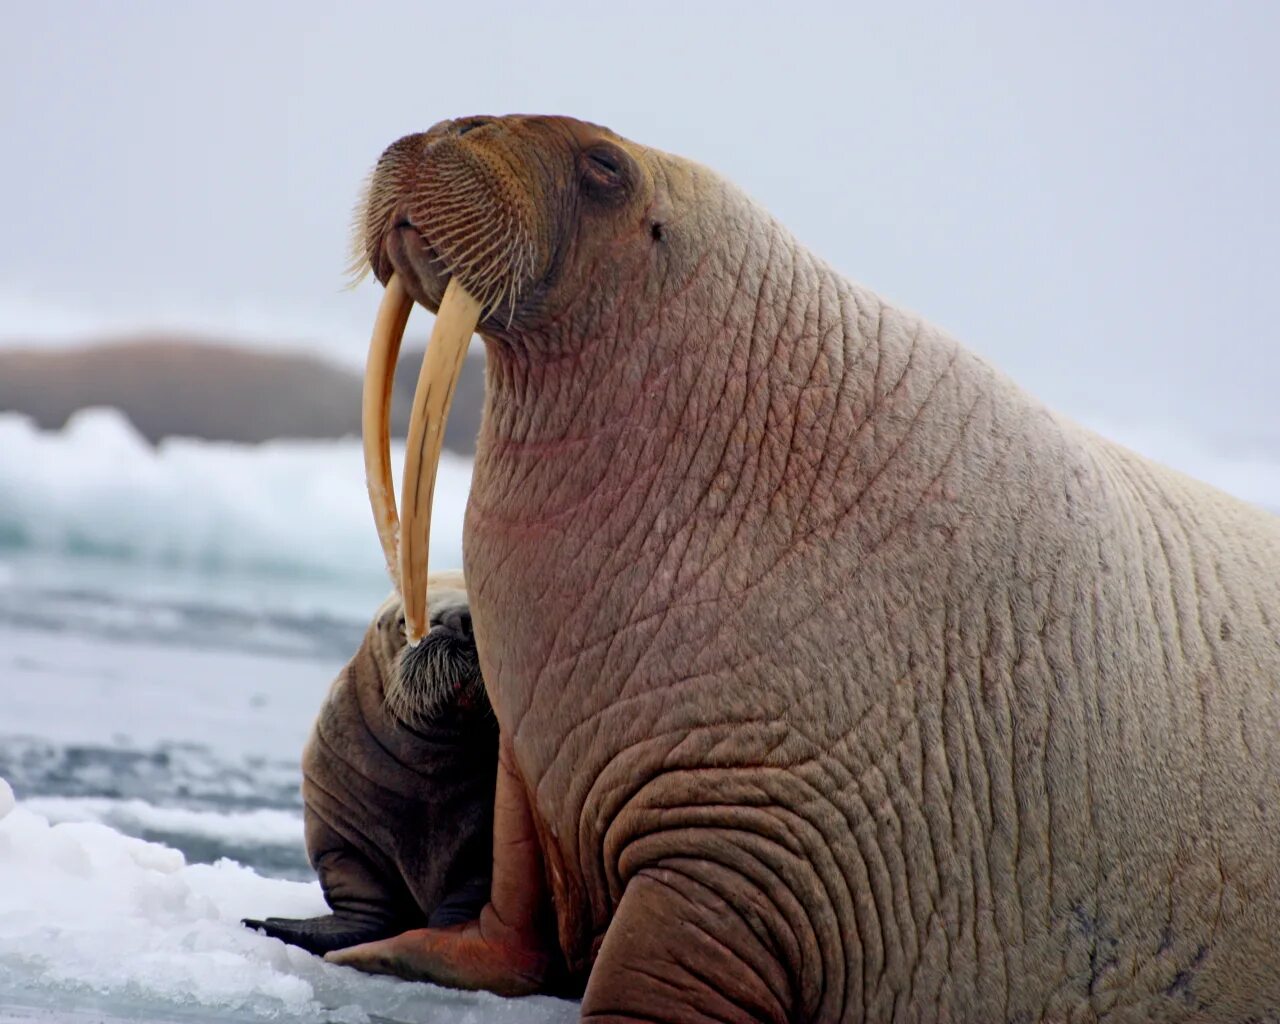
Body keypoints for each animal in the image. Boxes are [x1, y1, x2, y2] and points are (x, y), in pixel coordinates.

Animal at [244, 576, 499, 962]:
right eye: (405, 622)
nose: (464, 619)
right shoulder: (340, 834)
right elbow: (361, 894)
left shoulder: (484, 847)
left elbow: (470, 890)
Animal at [332, 117, 1280, 1024]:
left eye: (605, 165)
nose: (447, 132)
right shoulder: (530, 771)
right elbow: (509, 913)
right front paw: (379, 952)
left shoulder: (750, 839)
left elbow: (651, 969)